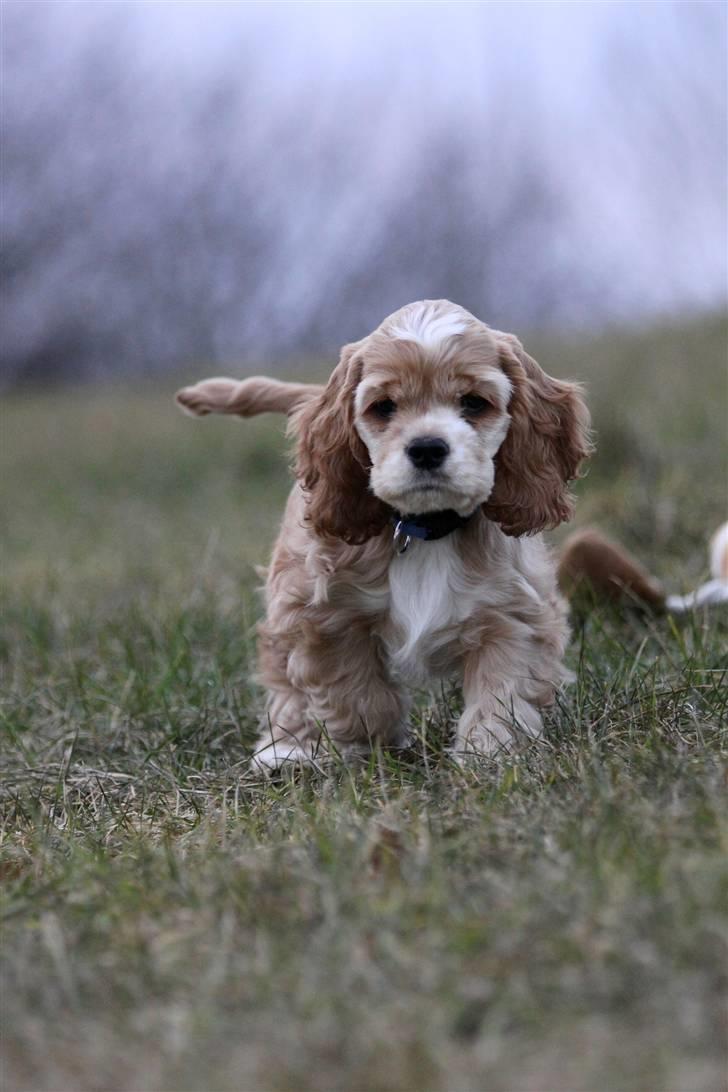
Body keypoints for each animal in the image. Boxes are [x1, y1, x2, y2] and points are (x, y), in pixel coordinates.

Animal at [176, 294, 593, 764]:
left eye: (473, 403)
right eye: (384, 407)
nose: (427, 448)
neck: (424, 529)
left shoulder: (513, 613)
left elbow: (503, 690)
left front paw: (491, 753)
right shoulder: (326, 616)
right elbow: (354, 692)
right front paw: (370, 743)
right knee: (283, 678)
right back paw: (287, 749)